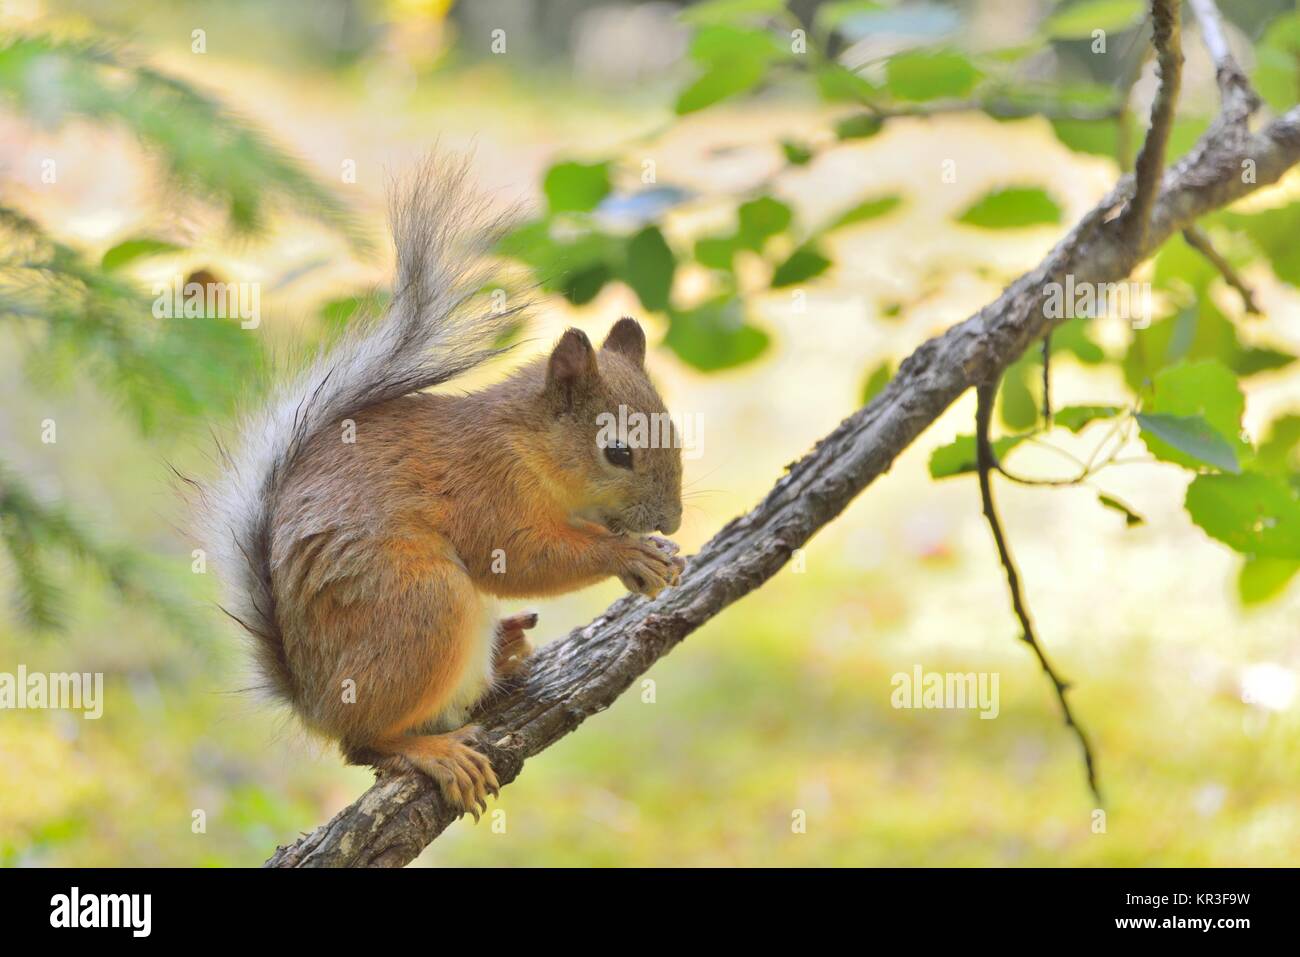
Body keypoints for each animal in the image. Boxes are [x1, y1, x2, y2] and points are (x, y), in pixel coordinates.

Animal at [197, 158, 686, 821]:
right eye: (617, 452)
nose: (673, 520)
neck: (527, 445)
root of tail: (313, 700)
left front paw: (660, 554)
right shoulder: (486, 486)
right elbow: (523, 557)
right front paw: (627, 553)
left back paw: (508, 651)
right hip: (422, 605)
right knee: (363, 743)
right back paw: (433, 750)